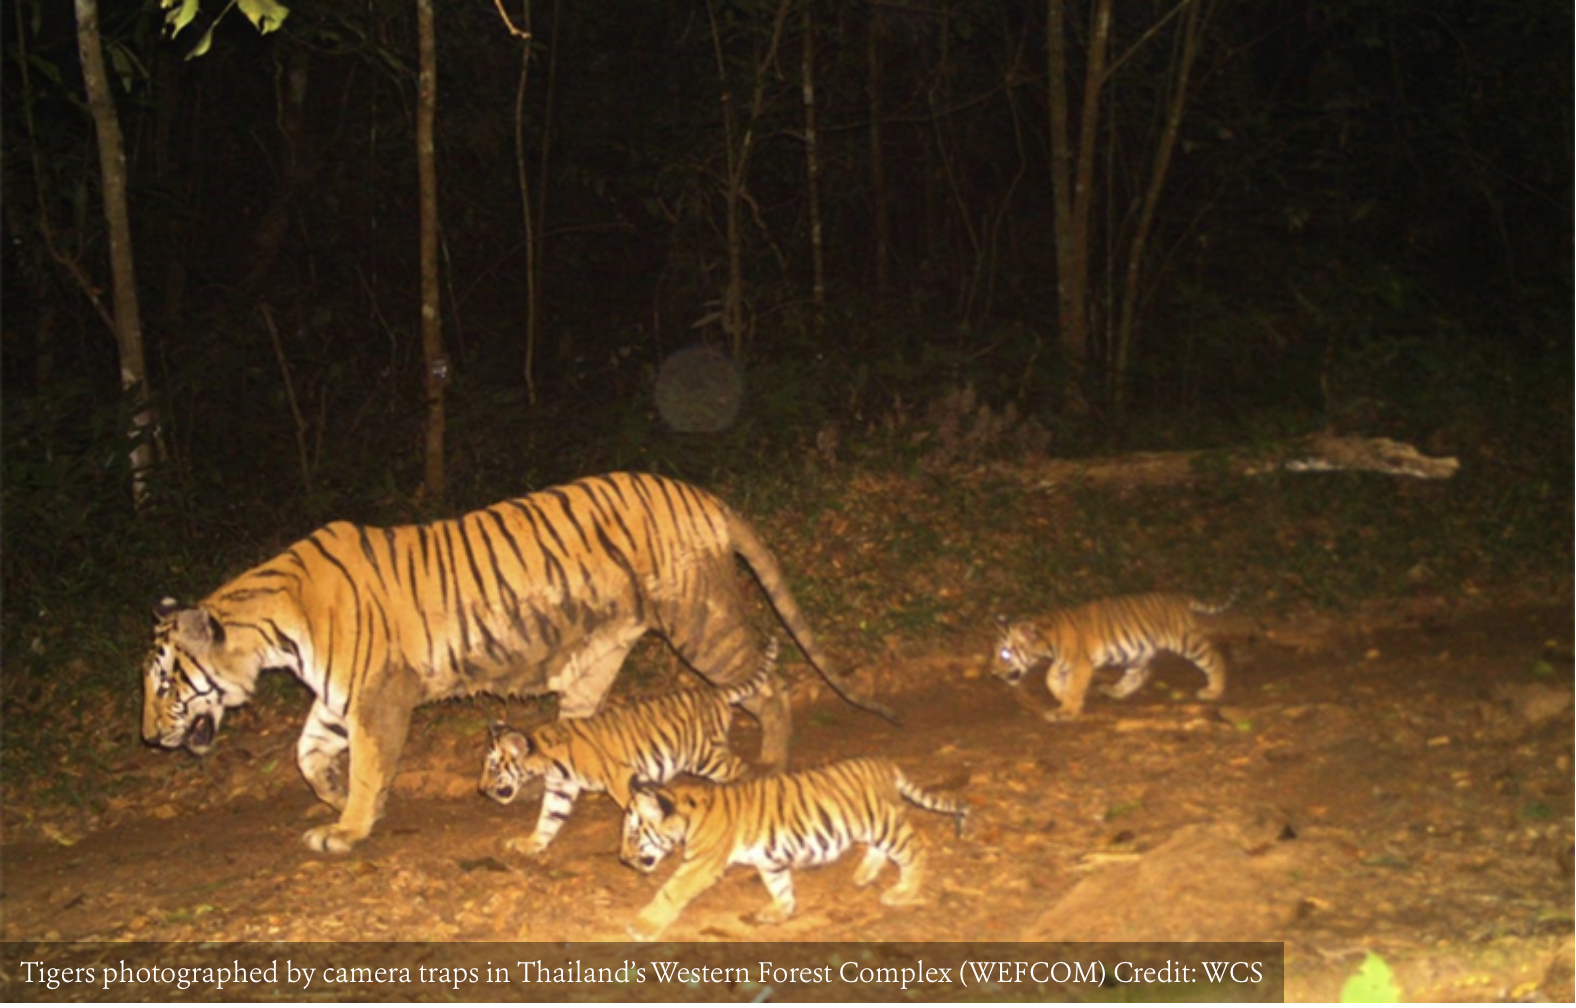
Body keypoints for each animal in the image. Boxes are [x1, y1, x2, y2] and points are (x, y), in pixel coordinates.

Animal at [480, 637, 778, 854]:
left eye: (493, 767)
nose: (481, 790)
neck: (545, 760)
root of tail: (714, 690)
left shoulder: (619, 777)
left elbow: (635, 807)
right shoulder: (560, 789)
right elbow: (548, 819)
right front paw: (531, 844)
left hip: (705, 757)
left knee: (742, 768)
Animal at [618, 756, 967, 940]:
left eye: (633, 835)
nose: (621, 859)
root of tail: (883, 763)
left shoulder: (699, 864)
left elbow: (670, 891)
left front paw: (641, 926)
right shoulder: (769, 859)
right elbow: (779, 885)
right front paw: (779, 912)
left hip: (884, 825)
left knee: (914, 849)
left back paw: (903, 892)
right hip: (871, 827)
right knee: (879, 851)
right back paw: (863, 876)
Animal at [992, 592, 1230, 722]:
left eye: (1005, 653)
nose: (993, 673)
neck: (1047, 641)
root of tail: (1178, 597)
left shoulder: (1080, 664)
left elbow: (1073, 688)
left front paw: (1066, 711)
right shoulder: (1065, 662)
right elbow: (1050, 678)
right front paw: (1060, 696)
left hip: (1185, 641)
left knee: (1214, 657)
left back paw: (1213, 691)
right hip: (1136, 652)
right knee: (1138, 674)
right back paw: (1114, 691)